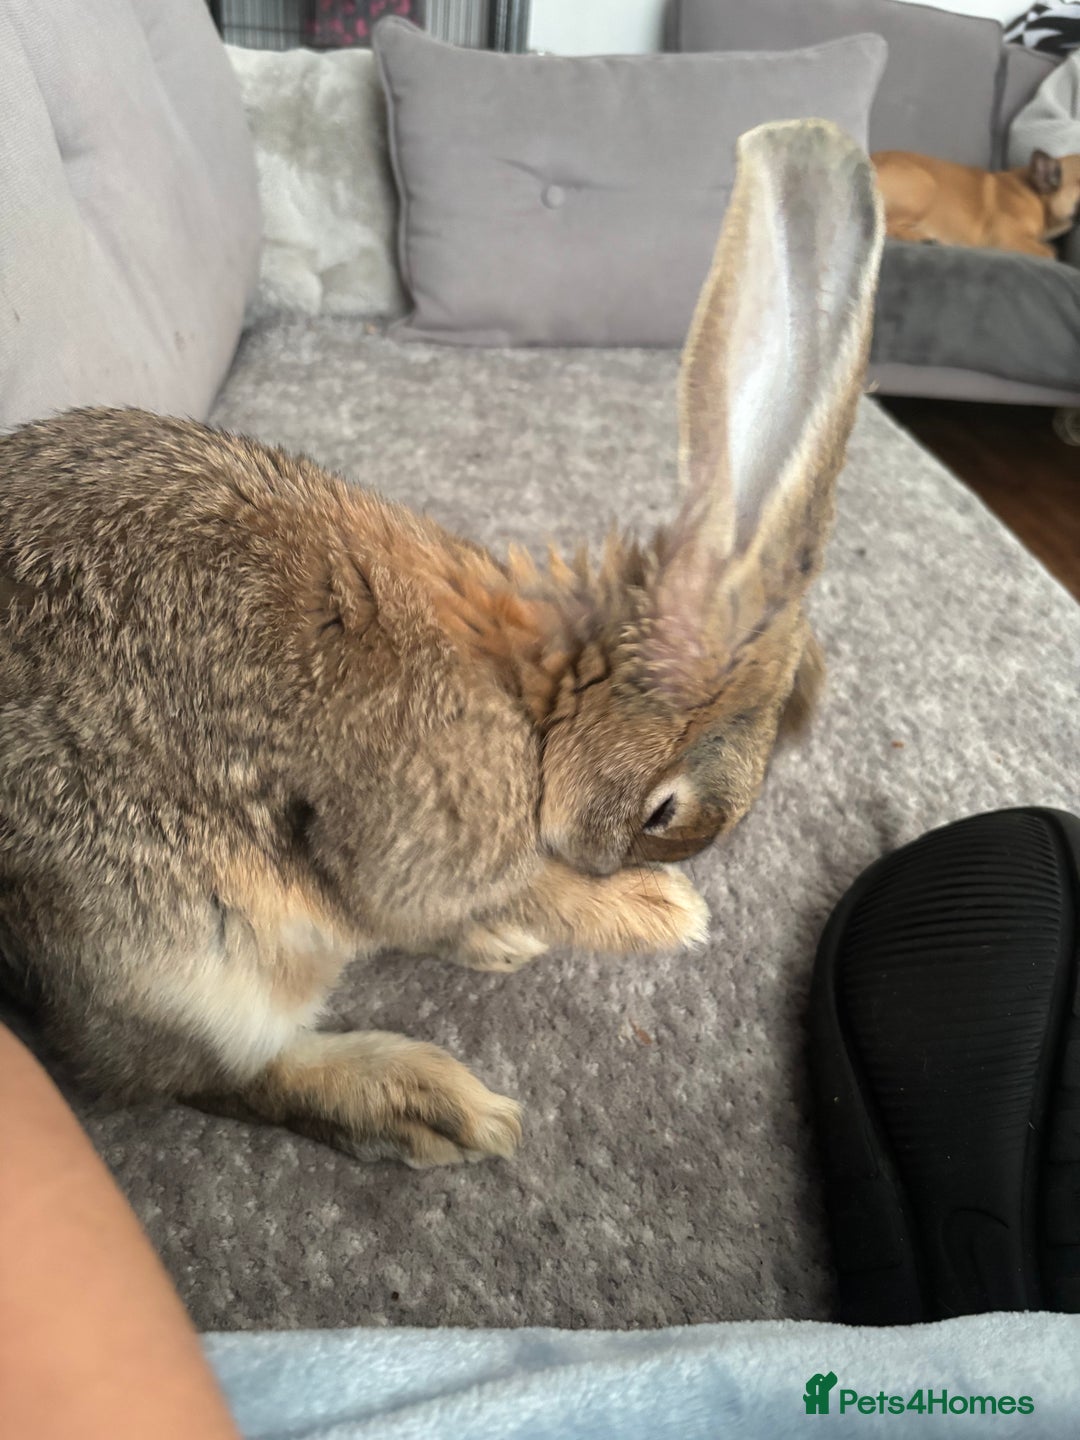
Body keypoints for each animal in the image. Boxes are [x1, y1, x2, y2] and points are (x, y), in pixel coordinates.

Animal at [0, 120, 884, 1167]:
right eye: (666, 812)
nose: (624, 863)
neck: (539, 702)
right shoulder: (417, 833)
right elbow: (491, 887)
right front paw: (656, 916)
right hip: (185, 959)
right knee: (217, 1075)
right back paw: (428, 1104)